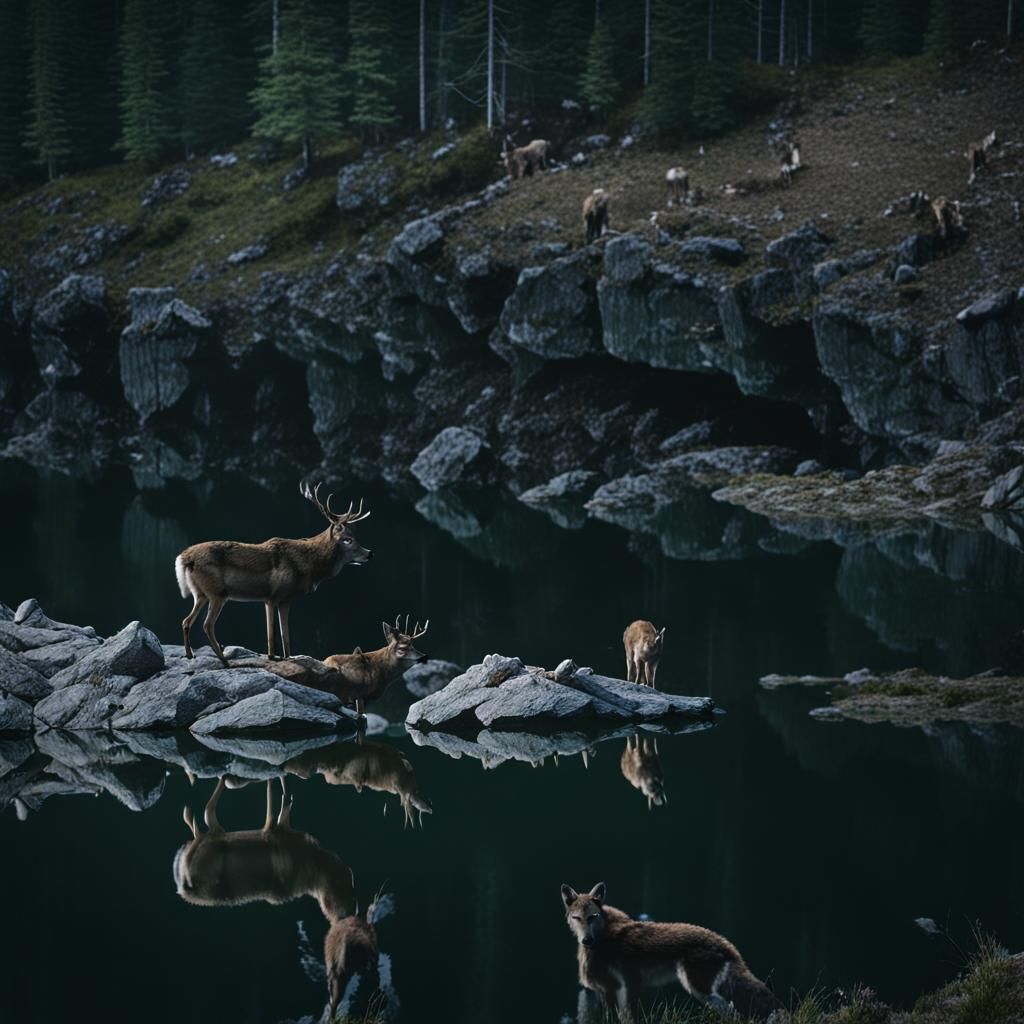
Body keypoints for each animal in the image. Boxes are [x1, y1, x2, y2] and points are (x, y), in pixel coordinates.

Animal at [174, 482, 371, 666]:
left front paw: (288, 657)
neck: (308, 567)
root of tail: (184, 557)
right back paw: (224, 660)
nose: (369, 553)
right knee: (207, 624)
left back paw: (190, 655)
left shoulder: (284, 600)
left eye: (355, 536)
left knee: (186, 621)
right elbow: (273, 630)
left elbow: (285, 633)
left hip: (200, 593)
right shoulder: (273, 596)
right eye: (348, 539)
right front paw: (273, 656)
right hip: (217, 593)